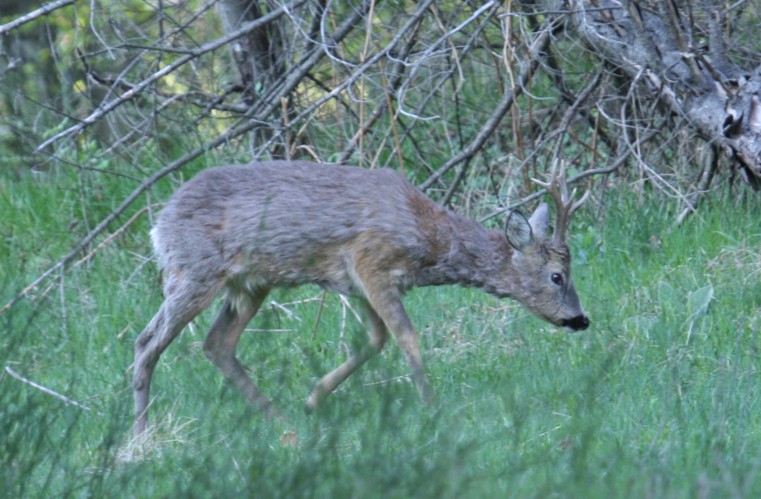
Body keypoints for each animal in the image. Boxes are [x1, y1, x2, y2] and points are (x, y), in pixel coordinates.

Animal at [134, 160, 592, 438]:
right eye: (557, 276)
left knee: (218, 343)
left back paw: (282, 420)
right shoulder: (370, 261)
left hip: (250, 284)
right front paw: (432, 408)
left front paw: (314, 397)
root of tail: (158, 224)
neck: (430, 242)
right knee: (147, 342)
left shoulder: (359, 283)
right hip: (193, 271)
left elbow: (377, 338)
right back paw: (141, 434)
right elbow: (406, 336)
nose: (581, 319)